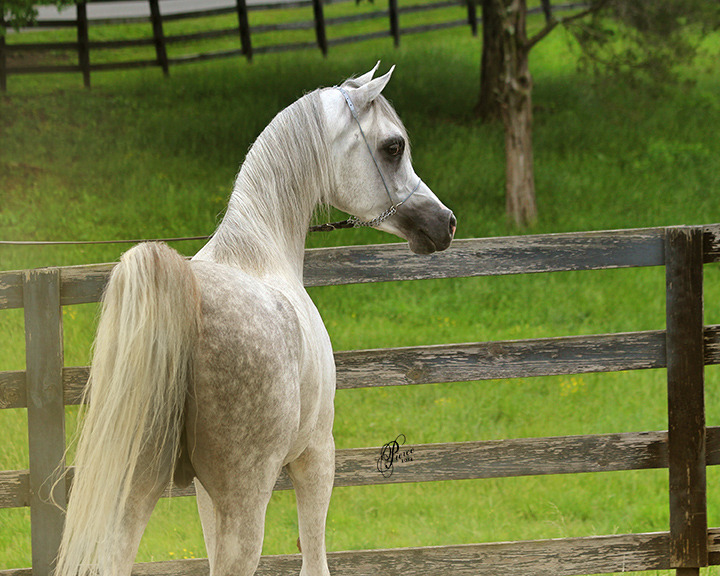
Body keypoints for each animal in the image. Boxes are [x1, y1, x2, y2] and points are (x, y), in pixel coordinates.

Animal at [55, 63, 456, 576]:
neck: (261, 248)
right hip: (245, 498)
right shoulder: (316, 455)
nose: (444, 223)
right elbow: (314, 557)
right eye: (393, 146)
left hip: (132, 494)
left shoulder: (204, 492)